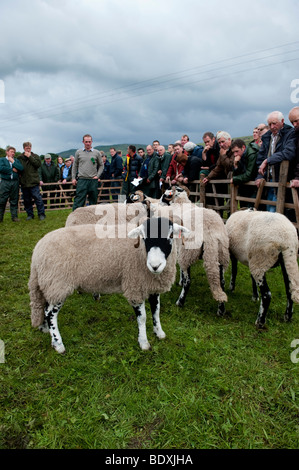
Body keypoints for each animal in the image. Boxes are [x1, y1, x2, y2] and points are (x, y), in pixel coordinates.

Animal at [28, 217, 190, 352]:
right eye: (144, 237)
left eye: (170, 236)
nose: (155, 266)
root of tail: (37, 251)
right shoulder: (135, 286)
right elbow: (143, 317)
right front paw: (144, 342)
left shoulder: (152, 287)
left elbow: (156, 311)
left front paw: (159, 333)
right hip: (57, 284)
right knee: (50, 313)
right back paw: (58, 344)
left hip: (48, 284)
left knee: (43, 306)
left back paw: (45, 329)